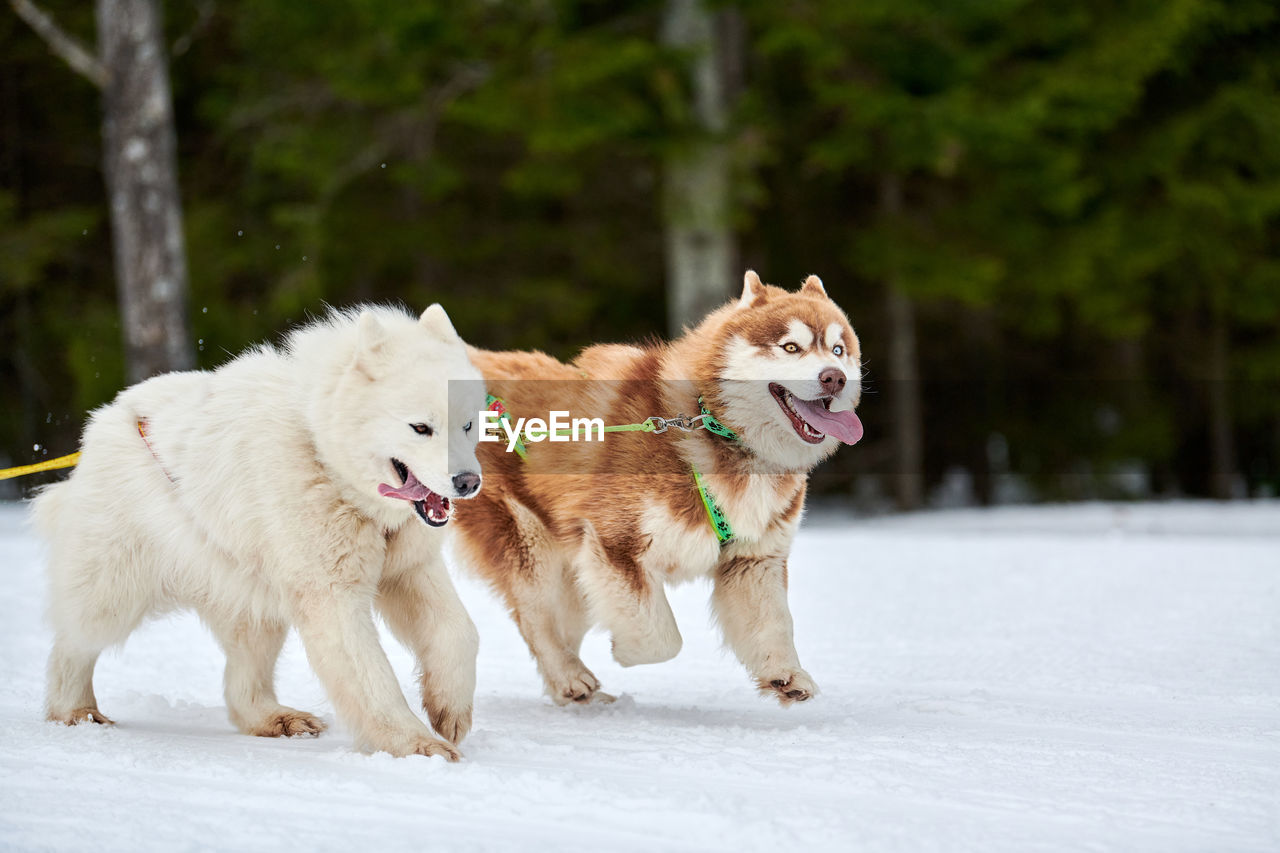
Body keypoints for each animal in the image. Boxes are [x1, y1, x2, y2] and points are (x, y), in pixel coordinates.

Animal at [31, 303, 488, 758]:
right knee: (74, 641)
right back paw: (75, 710)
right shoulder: (331, 593)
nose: (468, 482)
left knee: (242, 681)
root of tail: (104, 423)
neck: (322, 453)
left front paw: (448, 709)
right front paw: (418, 745)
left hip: (253, 594)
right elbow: (371, 675)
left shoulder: (406, 568)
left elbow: (460, 630)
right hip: (115, 589)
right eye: (421, 428)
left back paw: (277, 718)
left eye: (467, 425)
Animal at [455, 270, 865, 701]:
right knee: (536, 617)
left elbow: (773, 624)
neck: (711, 423)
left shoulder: (754, 560)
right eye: (790, 346)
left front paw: (785, 674)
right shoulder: (614, 545)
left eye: (838, 349)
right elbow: (663, 640)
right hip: (532, 543)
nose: (833, 378)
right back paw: (570, 675)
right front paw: (626, 650)